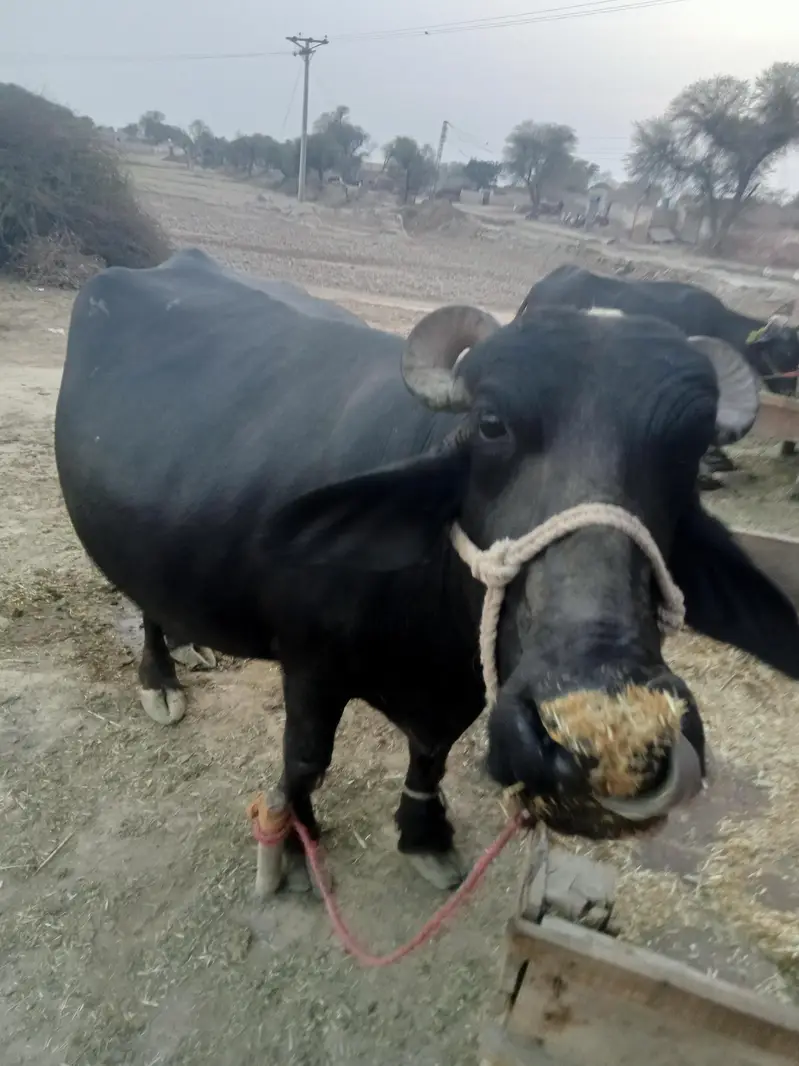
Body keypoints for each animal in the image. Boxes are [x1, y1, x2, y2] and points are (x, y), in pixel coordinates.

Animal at [54, 249, 799, 891]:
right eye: (491, 424)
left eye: (688, 451)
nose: (591, 747)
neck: (429, 632)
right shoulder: (310, 667)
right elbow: (306, 762)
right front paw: (294, 840)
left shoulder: (459, 689)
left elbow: (429, 756)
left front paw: (424, 833)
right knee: (144, 603)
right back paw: (161, 676)